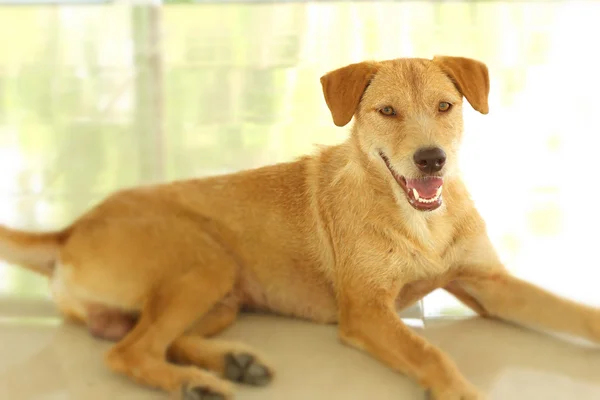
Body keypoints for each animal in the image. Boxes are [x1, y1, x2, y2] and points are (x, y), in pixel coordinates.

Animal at [2, 56, 596, 400]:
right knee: (128, 351)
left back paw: (230, 363)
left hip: (222, 295)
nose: (432, 160)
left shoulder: (490, 286)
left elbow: (578, 314)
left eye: (446, 106)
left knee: (155, 339)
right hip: (207, 264)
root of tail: (68, 231)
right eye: (387, 111)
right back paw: (196, 383)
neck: (419, 219)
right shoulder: (365, 311)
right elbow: (429, 352)